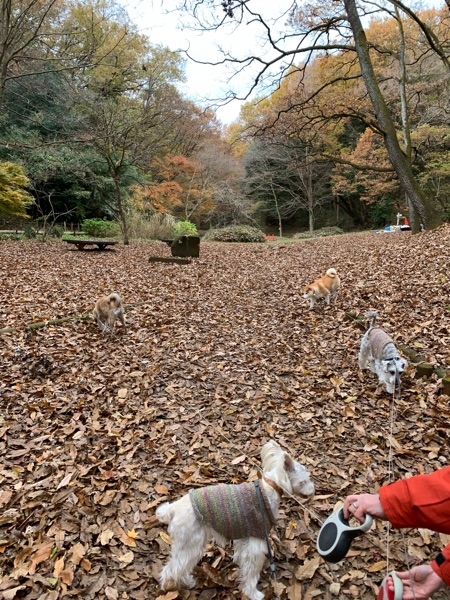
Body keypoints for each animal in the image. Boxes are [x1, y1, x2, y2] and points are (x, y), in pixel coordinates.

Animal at [156, 440, 314, 600]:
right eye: (304, 480)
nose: (313, 490)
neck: (270, 488)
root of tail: (173, 508)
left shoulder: (245, 537)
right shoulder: (256, 539)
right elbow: (251, 572)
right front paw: (252, 593)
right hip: (190, 544)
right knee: (172, 569)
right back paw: (176, 585)